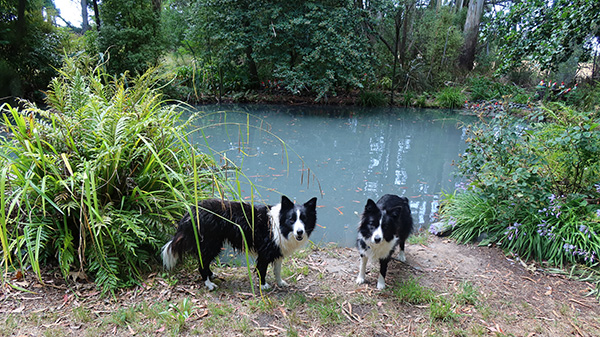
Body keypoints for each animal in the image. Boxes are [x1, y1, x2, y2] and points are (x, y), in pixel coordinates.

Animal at [162, 196, 316, 290]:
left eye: (304, 219)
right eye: (292, 220)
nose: (300, 232)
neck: (279, 225)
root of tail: (191, 211)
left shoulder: (277, 250)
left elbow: (277, 270)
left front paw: (280, 283)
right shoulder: (265, 251)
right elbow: (262, 269)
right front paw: (264, 286)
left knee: (204, 262)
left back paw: (211, 275)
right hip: (211, 243)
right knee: (202, 264)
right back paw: (209, 284)